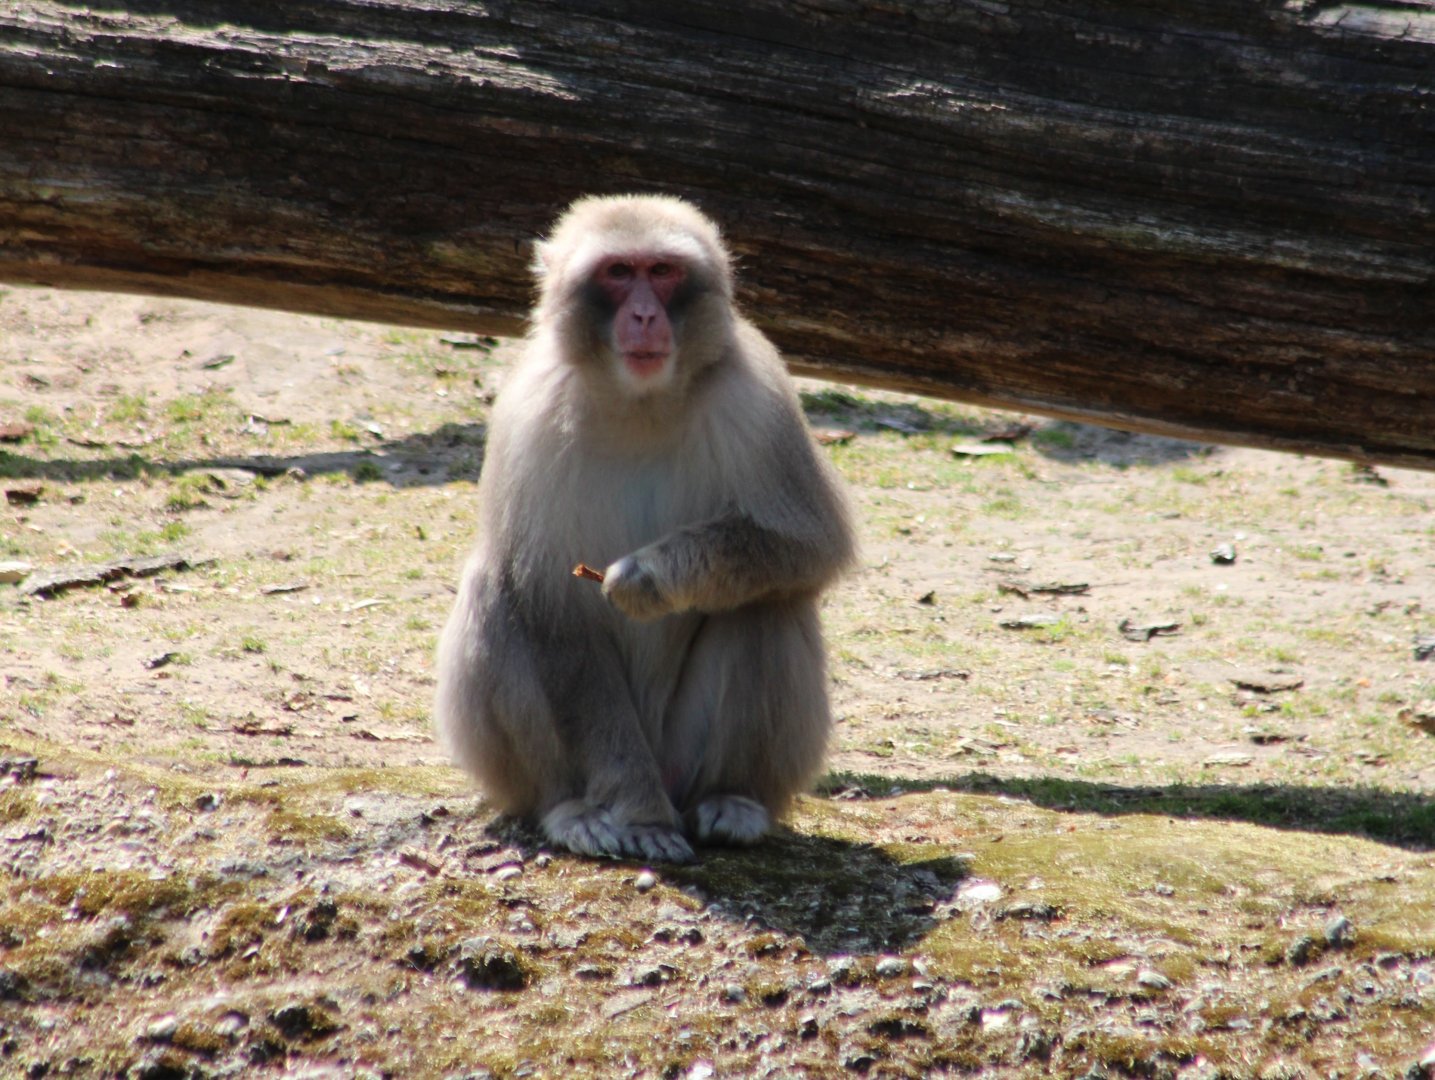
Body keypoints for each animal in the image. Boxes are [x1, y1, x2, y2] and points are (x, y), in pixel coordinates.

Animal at [435, 194, 855, 863]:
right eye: (617, 272)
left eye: (661, 271)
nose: (643, 314)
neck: (640, 404)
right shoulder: (530, 419)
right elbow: (556, 613)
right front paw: (640, 816)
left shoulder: (758, 397)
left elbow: (808, 544)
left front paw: (650, 576)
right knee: (498, 589)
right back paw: (569, 807)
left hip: (687, 753)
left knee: (767, 597)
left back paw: (731, 800)